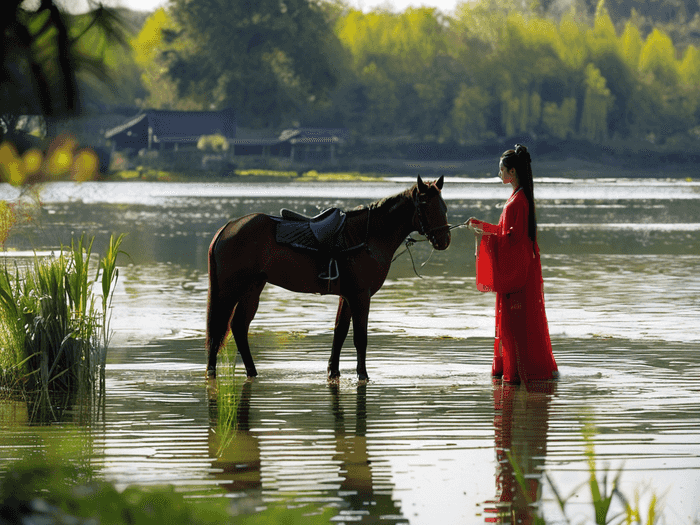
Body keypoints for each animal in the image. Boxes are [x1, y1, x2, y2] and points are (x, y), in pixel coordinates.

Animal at [205, 174, 452, 378]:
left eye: (443, 205)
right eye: (424, 205)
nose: (444, 240)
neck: (366, 236)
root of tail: (228, 228)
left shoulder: (348, 296)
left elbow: (339, 332)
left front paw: (333, 370)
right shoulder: (361, 296)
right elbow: (360, 337)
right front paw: (363, 375)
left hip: (253, 287)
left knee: (238, 326)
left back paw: (251, 371)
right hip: (230, 289)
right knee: (218, 329)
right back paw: (212, 371)